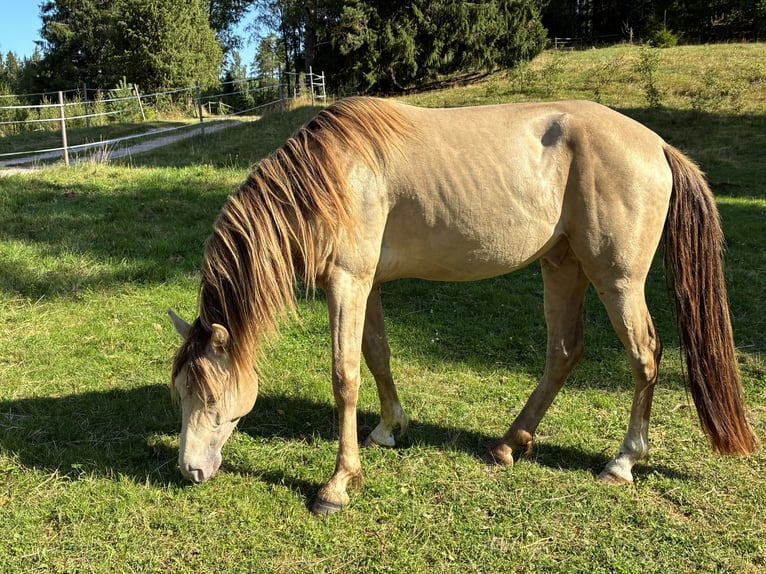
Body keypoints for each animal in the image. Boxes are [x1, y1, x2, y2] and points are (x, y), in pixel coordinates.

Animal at [169, 97, 755, 515]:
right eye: (179, 391)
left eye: (212, 396)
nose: (188, 470)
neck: (333, 176)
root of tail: (657, 145)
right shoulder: (368, 285)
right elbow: (378, 357)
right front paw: (388, 430)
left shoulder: (347, 283)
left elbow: (345, 375)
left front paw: (337, 485)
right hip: (562, 266)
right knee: (564, 352)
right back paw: (509, 443)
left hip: (618, 281)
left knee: (644, 356)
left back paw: (622, 461)